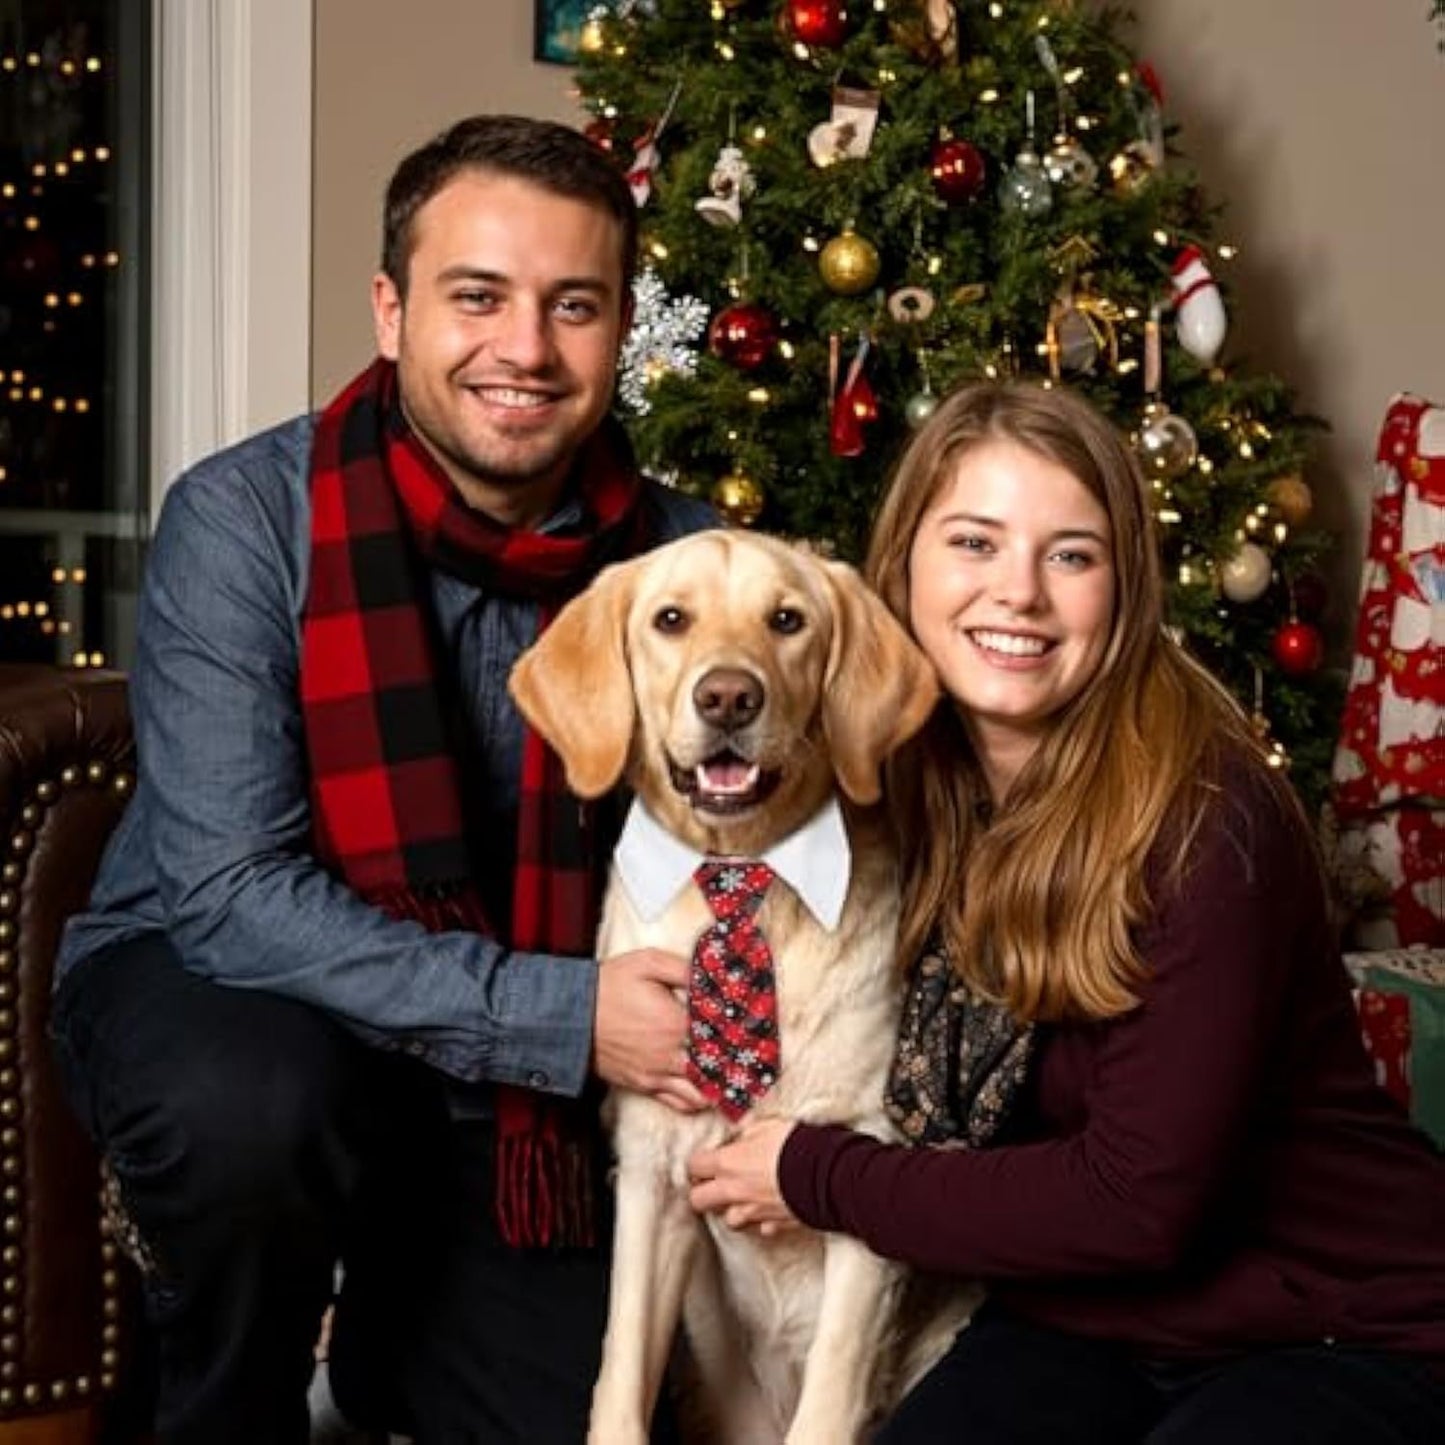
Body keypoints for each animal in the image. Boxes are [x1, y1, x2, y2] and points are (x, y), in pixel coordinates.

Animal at [514, 531, 965, 1445]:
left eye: (786, 621)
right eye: (670, 619)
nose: (728, 695)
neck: (741, 869)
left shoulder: (865, 1185)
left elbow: (828, 1400)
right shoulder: (650, 1174)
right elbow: (621, 1373)